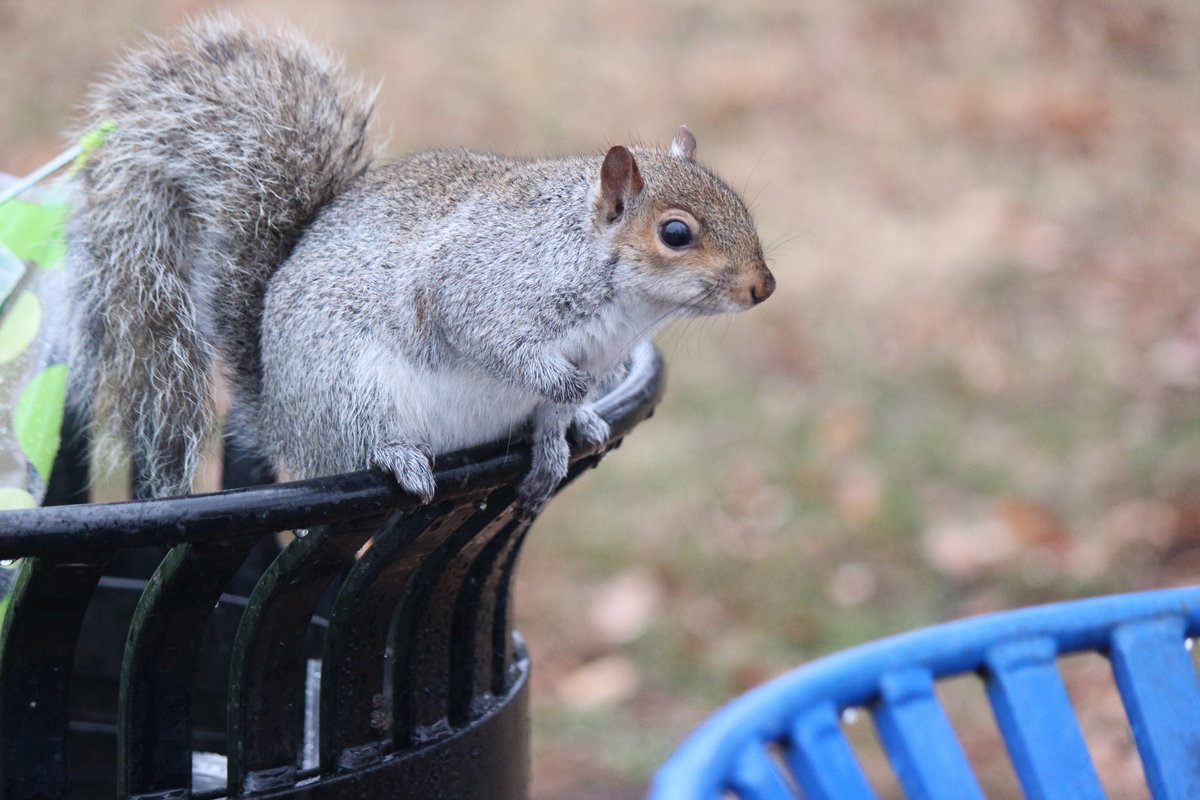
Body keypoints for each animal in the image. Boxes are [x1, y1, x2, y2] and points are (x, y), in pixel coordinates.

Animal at [65, 16, 775, 512]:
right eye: (676, 233)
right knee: (360, 443)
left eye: (741, 204)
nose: (762, 287)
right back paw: (400, 455)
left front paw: (558, 436)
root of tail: (284, 423)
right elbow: (489, 341)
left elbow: (548, 414)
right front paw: (569, 389)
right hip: (349, 389)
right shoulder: (481, 283)